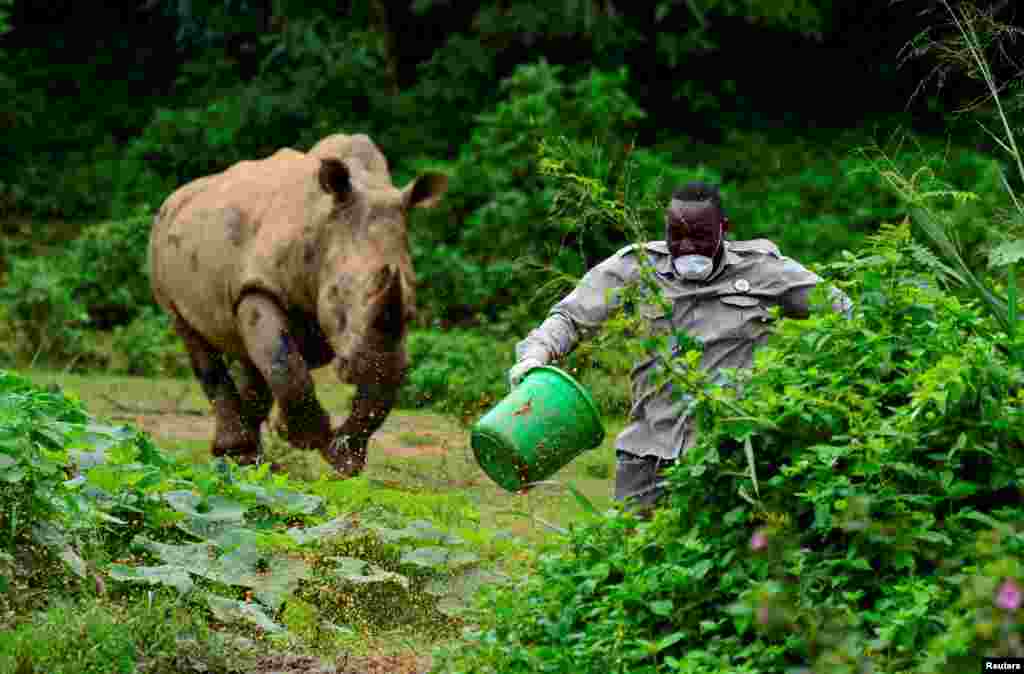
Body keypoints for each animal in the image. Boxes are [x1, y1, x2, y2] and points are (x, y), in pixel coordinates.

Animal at [148, 133, 448, 476]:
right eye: (336, 295)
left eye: (411, 309)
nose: (365, 368)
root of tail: (176, 197)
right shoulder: (260, 286)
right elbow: (283, 361)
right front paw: (306, 438)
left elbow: (379, 388)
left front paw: (342, 458)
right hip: (161, 242)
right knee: (192, 335)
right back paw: (239, 452)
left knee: (248, 353)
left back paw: (249, 458)